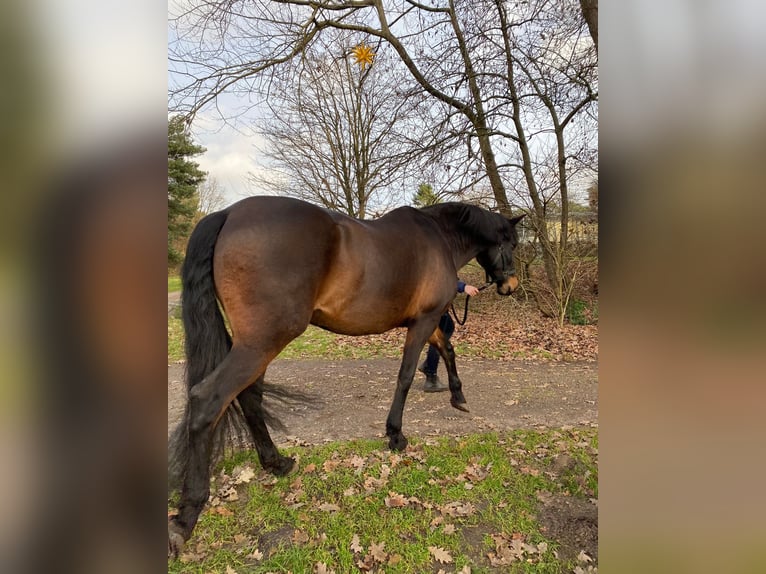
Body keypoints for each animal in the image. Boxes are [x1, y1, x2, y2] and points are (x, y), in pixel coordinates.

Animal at [168, 196, 524, 556]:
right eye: (511, 244)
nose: (511, 285)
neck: (440, 237)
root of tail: (228, 213)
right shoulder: (424, 320)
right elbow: (406, 375)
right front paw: (396, 434)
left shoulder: (429, 320)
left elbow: (448, 351)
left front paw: (457, 395)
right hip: (262, 342)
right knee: (208, 399)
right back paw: (186, 517)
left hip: (257, 345)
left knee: (249, 396)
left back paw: (276, 463)